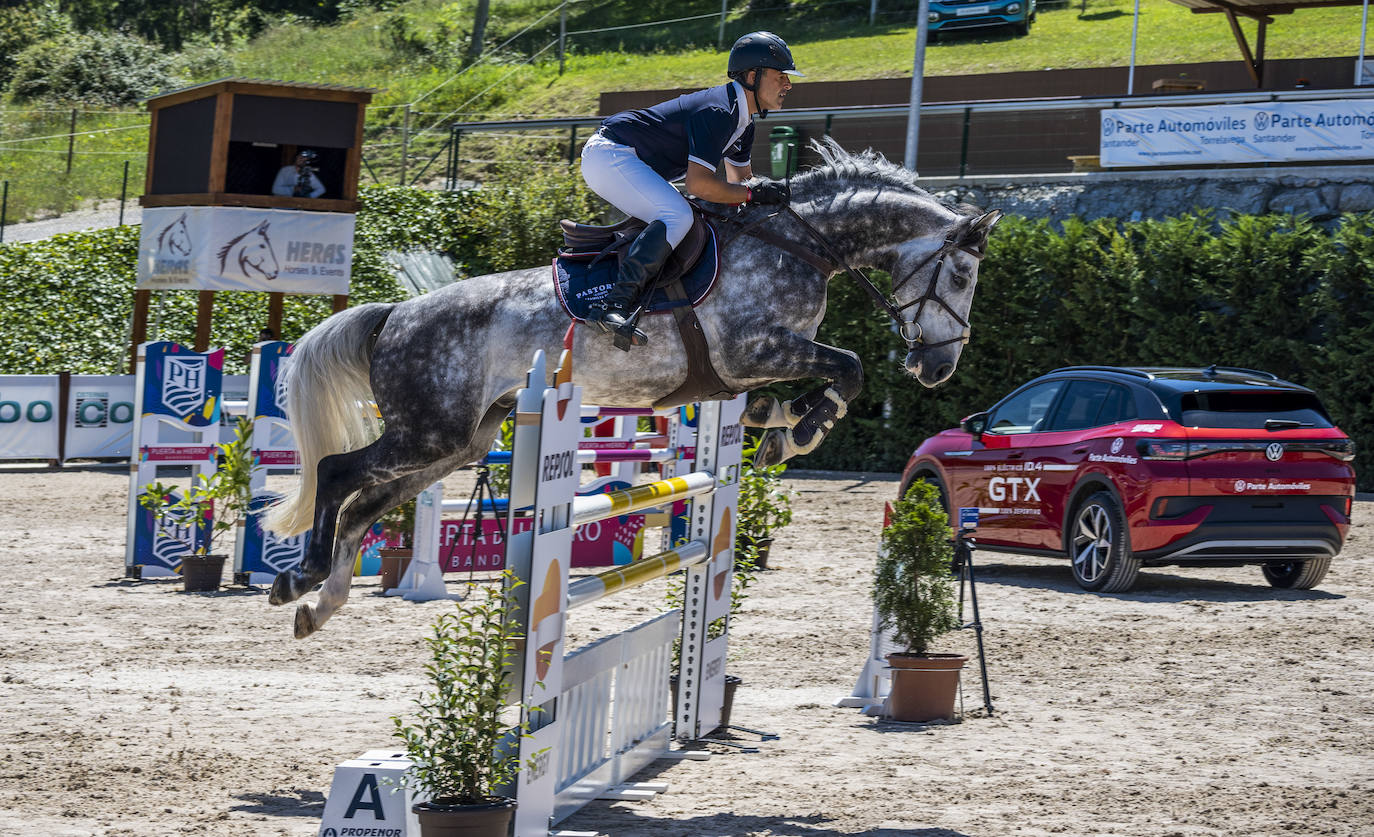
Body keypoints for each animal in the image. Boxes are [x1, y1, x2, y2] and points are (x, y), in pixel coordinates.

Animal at [265, 142, 1000, 632]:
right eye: (962, 275)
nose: (938, 368)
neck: (797, 243)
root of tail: (395, 314)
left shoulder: (750, 367)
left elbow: (805, 387)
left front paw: (778, 426)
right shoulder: (753, 350)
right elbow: (847, 366)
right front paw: (800, 431)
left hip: (457, 443)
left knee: (364, 504)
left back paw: (317, 603)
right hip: (428, 429)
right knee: (338, 473)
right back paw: (301, 575)